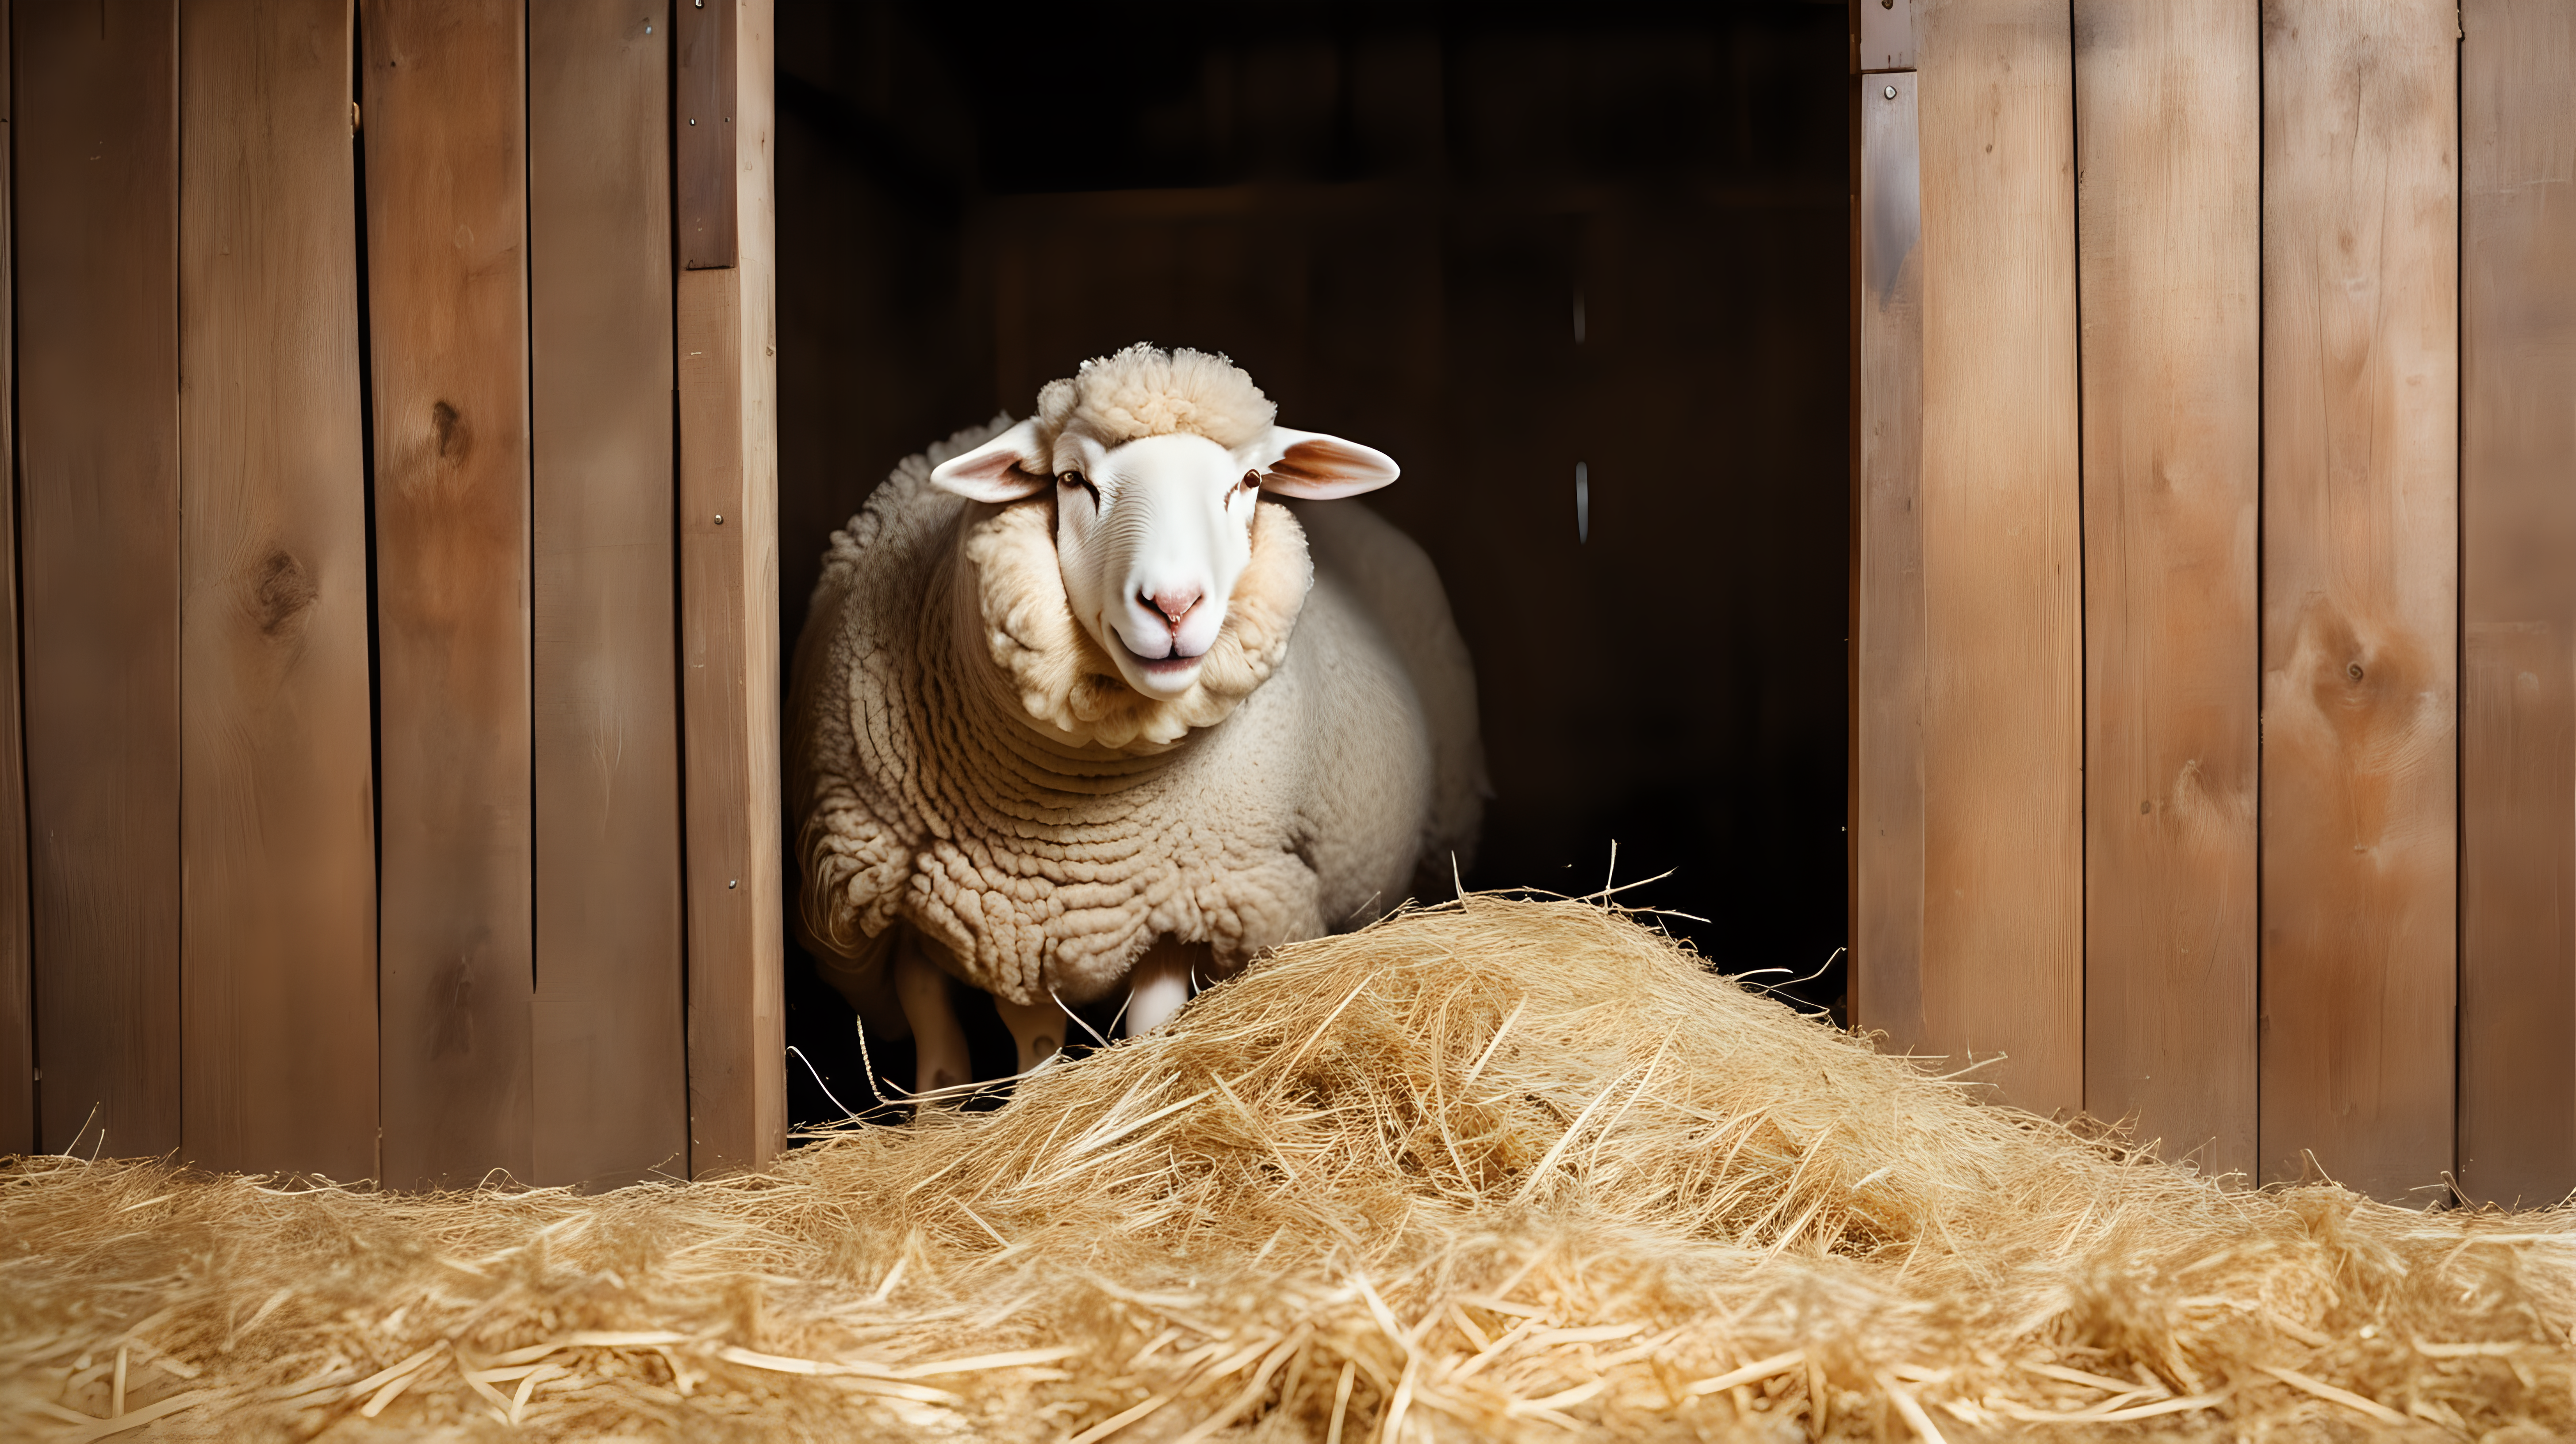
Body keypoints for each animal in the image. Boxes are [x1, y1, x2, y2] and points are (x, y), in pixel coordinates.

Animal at [783, 348, 1484, 1093]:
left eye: (1251, 481)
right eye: (1071, 479)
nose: (1173, 606)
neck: (1070, 817)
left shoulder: (1180, 905)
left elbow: (1145, 1029)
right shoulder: (903, 907)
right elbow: (953, 1056)